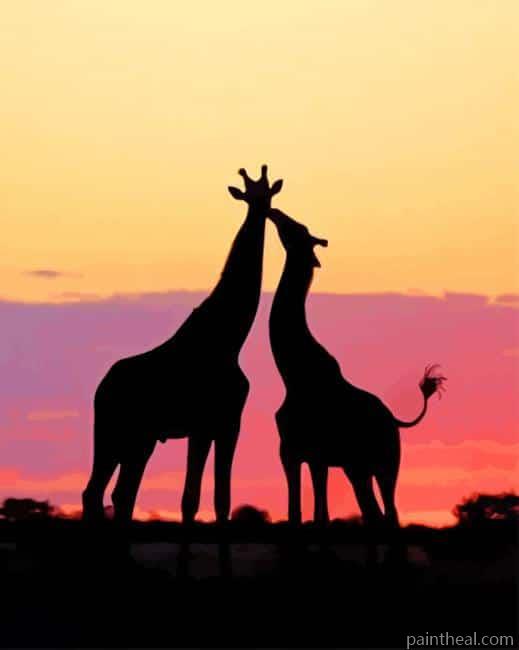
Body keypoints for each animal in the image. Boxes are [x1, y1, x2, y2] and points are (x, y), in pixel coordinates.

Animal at [82, 166, 283, 527]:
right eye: (249, 196)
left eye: (269, 194)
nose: (264, 213)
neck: (228, 340)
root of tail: (101, 388)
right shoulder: (204, 424)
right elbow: (192, 498)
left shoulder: (227, 422)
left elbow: (220, 499)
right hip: (112, 431)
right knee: (99, 492)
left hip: (139, 438)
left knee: (117, 494)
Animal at [267, 208, 446, 531]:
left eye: (299, 229)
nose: (275, 212)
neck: (293, 373)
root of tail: (395, 420)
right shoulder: (292, 451)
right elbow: (300, 514)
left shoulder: (315, 452)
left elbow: (317, 515)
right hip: (357, 467)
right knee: (374, 513)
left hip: (384, 464)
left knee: (388, 514)